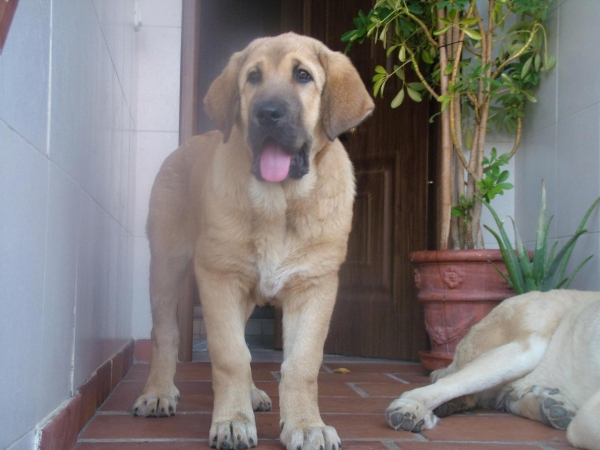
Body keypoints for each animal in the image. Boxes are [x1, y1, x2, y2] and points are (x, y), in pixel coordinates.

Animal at [134, 32, 372, 450]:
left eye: (303, 75)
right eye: (253, 78)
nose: (268, 112)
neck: (281, 205)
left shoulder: (315, 285)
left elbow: (302, 363)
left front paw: (306, 425)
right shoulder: (219, 277)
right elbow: (230, 354)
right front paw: (232, 421)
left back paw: (254, 394)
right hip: (166, 263)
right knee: (164, 332)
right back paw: (159, 392)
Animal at [386, 290, 600, 448]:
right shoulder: (587, 419)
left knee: (510, 397)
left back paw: (552, 407)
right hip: (525, 349)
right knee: (446, 384)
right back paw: (411, 409)